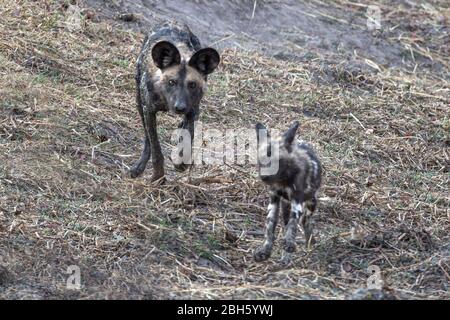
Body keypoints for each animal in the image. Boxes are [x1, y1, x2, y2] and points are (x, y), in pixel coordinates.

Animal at [129, 22, 221, 181]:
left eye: (192, 85)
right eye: (171, 82)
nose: (180, 107)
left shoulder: (193, 111)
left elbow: (189, 138)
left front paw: (181, 162)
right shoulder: (148, 110)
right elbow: (155, 148)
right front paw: (158, 177)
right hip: (139, 102)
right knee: (147, 138)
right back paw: (139, 166)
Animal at [253, 121, 324, 262]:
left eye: (278, 161)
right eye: (261, 160)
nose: (264, 177)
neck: (282, 180)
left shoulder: (297, 202)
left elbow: (293, 224)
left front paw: (290, 244)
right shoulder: (274, 200)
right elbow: (270, 227)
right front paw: (265, 250)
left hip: (311, 203)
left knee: (304, 221)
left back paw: (308, 243)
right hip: (286, 205)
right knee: (287, 222)